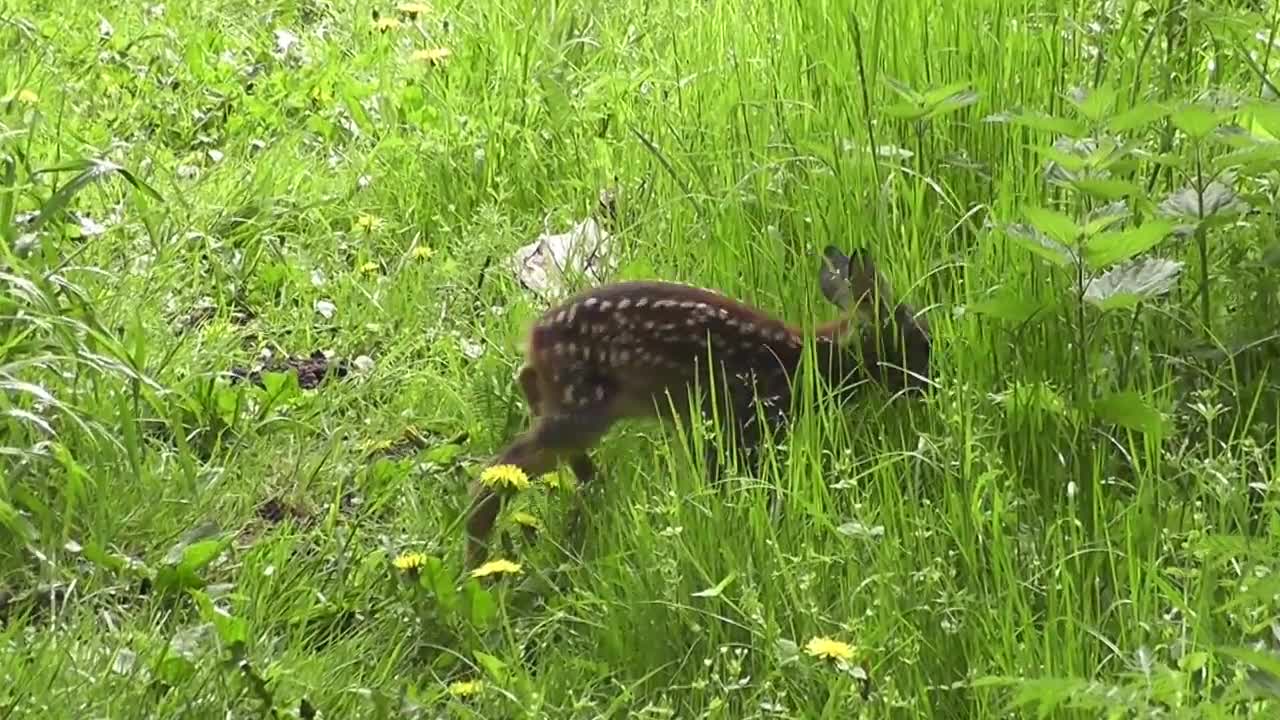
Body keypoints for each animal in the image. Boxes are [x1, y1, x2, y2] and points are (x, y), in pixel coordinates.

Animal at [460, 243, 931, 568]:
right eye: (919, 342)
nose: (929, 385)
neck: (807, 360)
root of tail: (537, 335)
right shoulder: (749, 418)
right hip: (584, 407)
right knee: (501, 464)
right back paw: (478, 556)